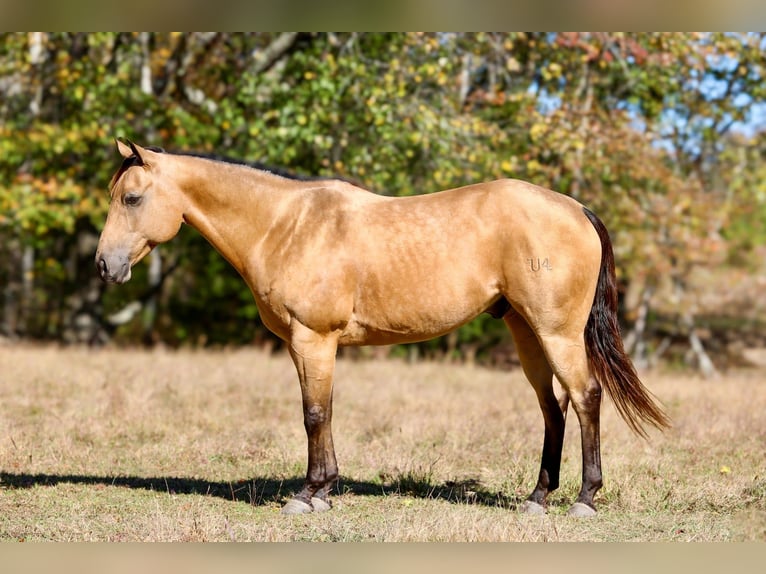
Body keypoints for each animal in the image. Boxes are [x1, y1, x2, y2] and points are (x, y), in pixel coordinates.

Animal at [95, 139, 669, 517]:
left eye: (131, 198)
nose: (105, 265)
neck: (285, 226)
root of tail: (577, 208)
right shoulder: (309, 347)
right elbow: (324, 413)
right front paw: (325, 491)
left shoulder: (313, 339)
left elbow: (313, 414)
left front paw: (308, 494)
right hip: (527, 333)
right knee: (554, 407)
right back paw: (537, 497)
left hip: (557, 334)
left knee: (586, 397)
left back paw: (584, 499)